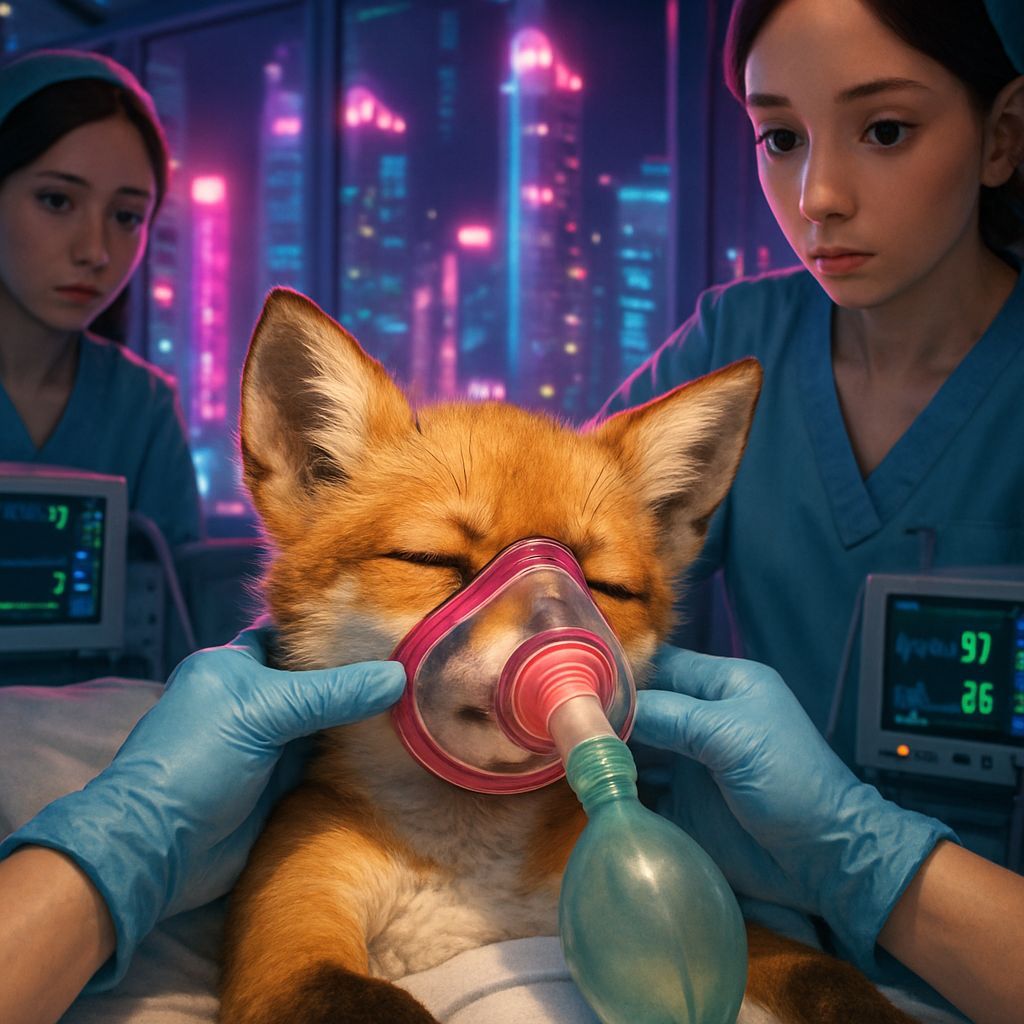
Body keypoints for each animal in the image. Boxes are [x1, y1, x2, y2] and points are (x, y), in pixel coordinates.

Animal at [219, 286, 921, 1024]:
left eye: (605, 587)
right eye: (432, 561)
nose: (559, 643)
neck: (471, 873)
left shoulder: (702, 919)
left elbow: (830, 976)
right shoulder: (290, 947)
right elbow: (374, 1002)